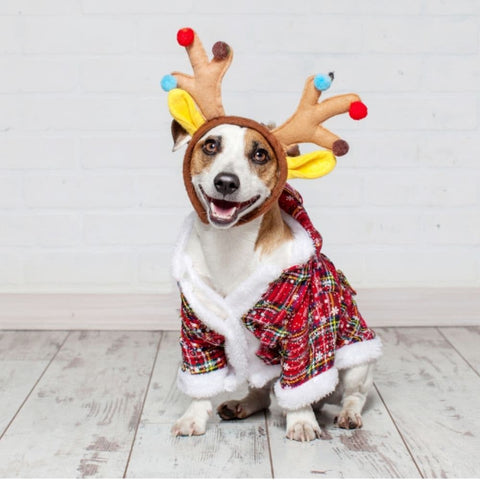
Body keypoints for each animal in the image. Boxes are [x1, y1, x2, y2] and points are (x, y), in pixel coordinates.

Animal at [163, 30, 380, 442]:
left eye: (261, 154)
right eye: (210, 145)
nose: (226, 182)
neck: (230, 247)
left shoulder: (304, 331)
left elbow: (301, 380)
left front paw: (301, 421)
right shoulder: (197, 324)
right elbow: (201, 379)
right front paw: (194, 416)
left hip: (357, 359)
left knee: (353, 393)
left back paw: (345, 414)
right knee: (263, 392)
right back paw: (241, 404)